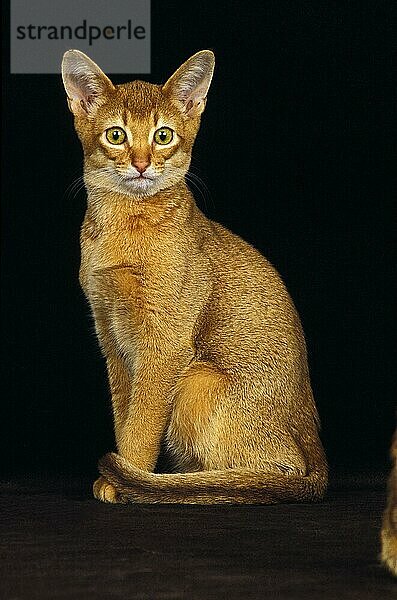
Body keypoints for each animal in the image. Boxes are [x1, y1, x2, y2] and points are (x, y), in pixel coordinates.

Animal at [62, 49, 326, 504]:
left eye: (164, 136)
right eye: (116, 135)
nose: (142, 164)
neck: (124, 227)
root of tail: (317, 449)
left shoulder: (165, 346)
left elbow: (142, 425)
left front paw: (125, 476)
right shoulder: (112, 339)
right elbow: (124, 415)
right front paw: (120, 475)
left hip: (196, 382)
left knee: (281, 470)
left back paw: (194, 485)